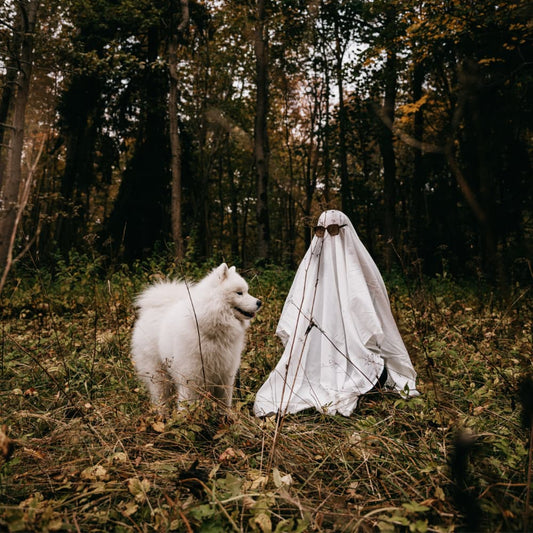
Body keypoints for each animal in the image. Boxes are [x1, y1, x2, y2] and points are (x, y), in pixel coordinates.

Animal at [131, 264, 260, 410]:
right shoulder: (190, 377)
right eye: (239, 293)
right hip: (158, 375)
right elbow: (187, 403)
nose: (259, 302)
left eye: (247, 291)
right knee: (160, 398)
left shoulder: (225, 377)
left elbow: (224, 404)